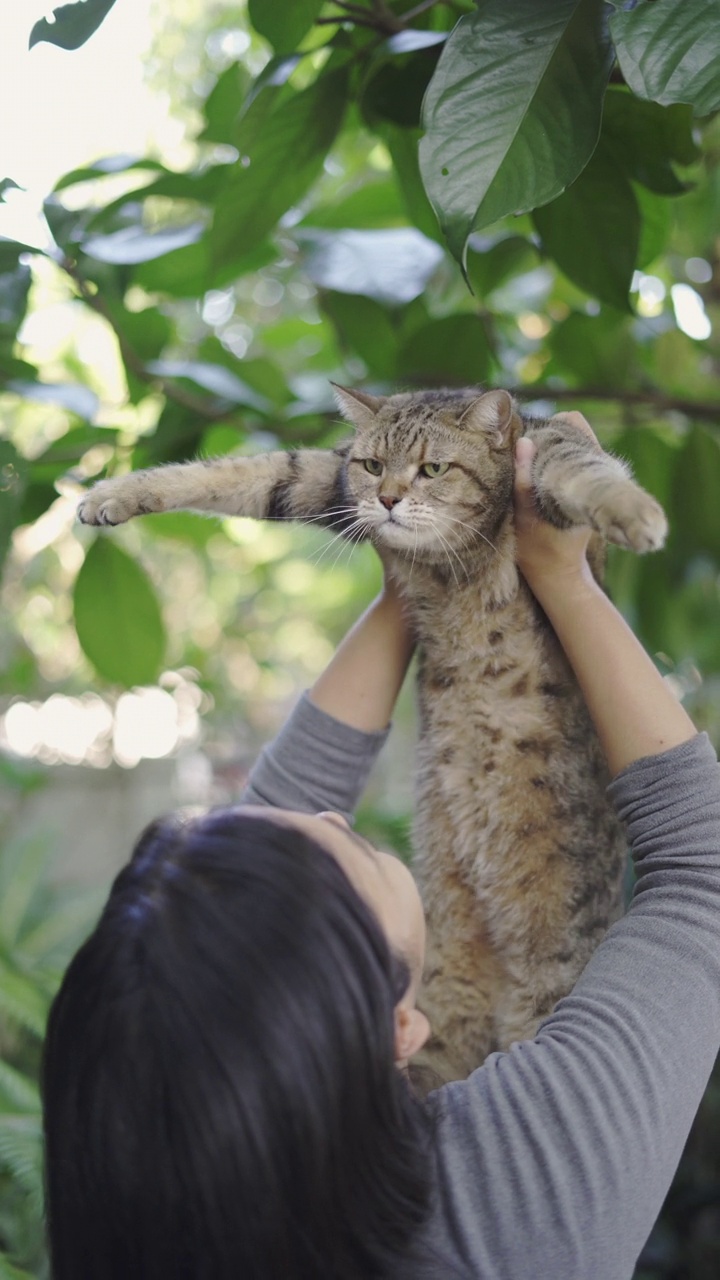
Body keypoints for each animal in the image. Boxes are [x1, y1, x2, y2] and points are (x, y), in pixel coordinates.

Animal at [75, 386, 666, 1080]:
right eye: (373, 467)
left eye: (433, 469)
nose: (386, 500)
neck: (449, 565)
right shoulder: (323, 476)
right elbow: (230, 473)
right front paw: (115, 494)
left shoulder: (548, 453)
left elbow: (588, 472)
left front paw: (633, 511)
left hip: (546, 990)